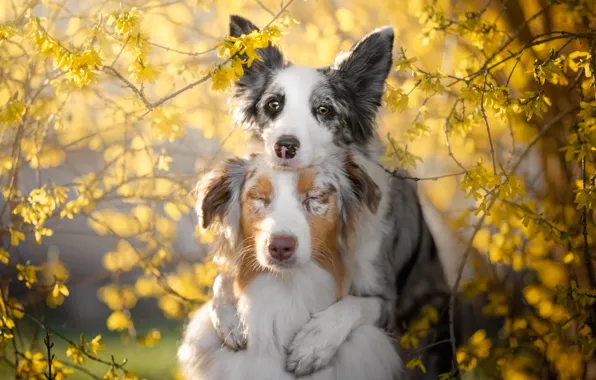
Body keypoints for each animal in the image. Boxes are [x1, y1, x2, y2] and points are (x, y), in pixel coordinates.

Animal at [176, 153, 400, 378]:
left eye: (314, 197)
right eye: (259, 198)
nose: (280, 247)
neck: (287, 290)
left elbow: (359, 303)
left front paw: (314, 344)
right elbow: (223, 280)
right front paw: (230, 320)